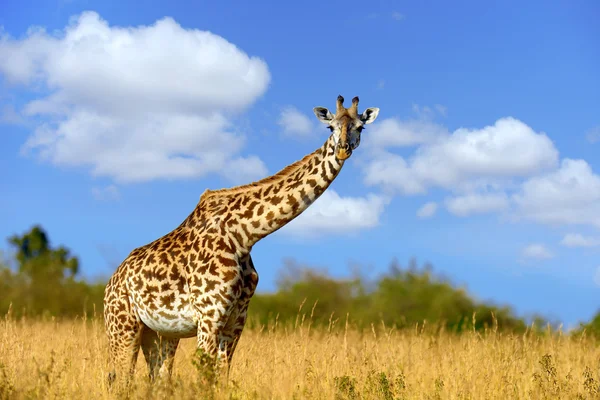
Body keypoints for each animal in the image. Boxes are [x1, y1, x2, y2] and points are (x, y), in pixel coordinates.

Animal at [101, 95, 378, 386]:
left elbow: (220, 378)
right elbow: (204, 378)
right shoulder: (209, 316)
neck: (244, 235)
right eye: (330, 127)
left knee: (157, 380)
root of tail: (111, 282)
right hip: (122, 326)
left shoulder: (236, 320)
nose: (343, 150)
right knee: (120, 379)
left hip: (159, 333)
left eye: (360, 127)